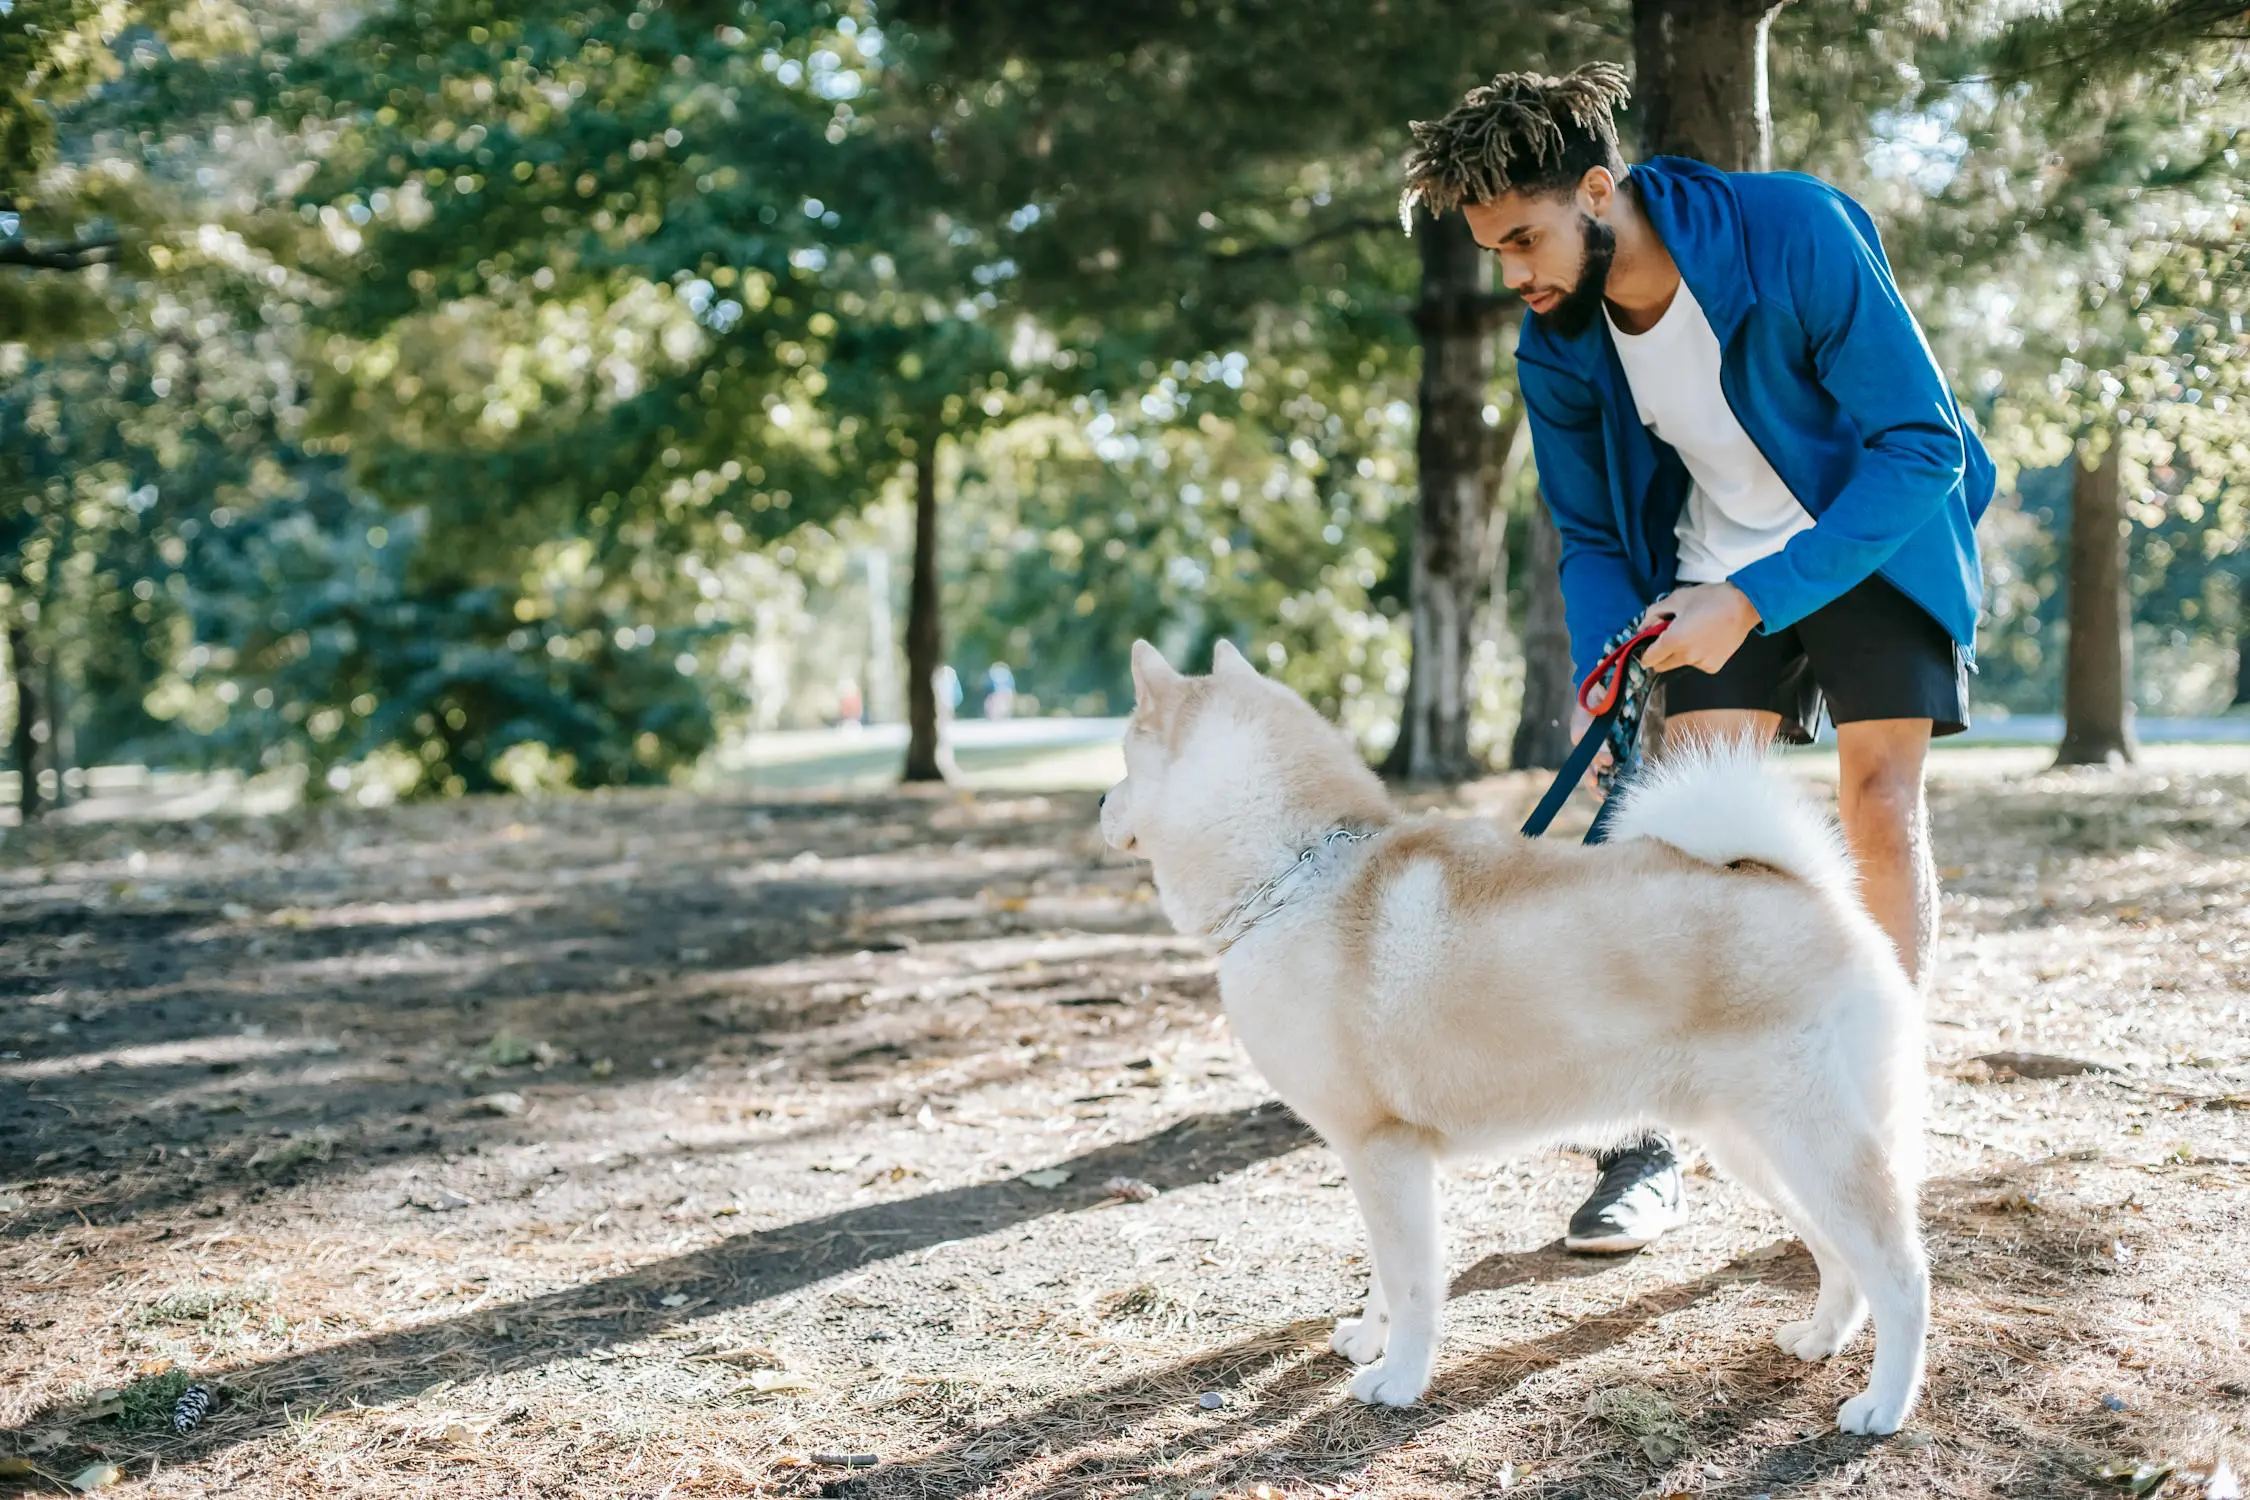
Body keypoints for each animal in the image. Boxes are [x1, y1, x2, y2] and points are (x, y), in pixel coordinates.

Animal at [1098, 638, 1926, 1439]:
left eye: (1125, 756)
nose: (1102, 801)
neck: (1296, 875)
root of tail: (1807, 887)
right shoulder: (1380, 1164)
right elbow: (1382, 1274)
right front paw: (1368, 1339)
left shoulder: (1383, 1151)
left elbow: (1411, 1282)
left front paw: (1399, 1380)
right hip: (1755, 1150)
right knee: (1840, 1258)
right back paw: (1821, 1338)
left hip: (1809, 1142)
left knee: (1900, 1272)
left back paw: (1884, 1406)